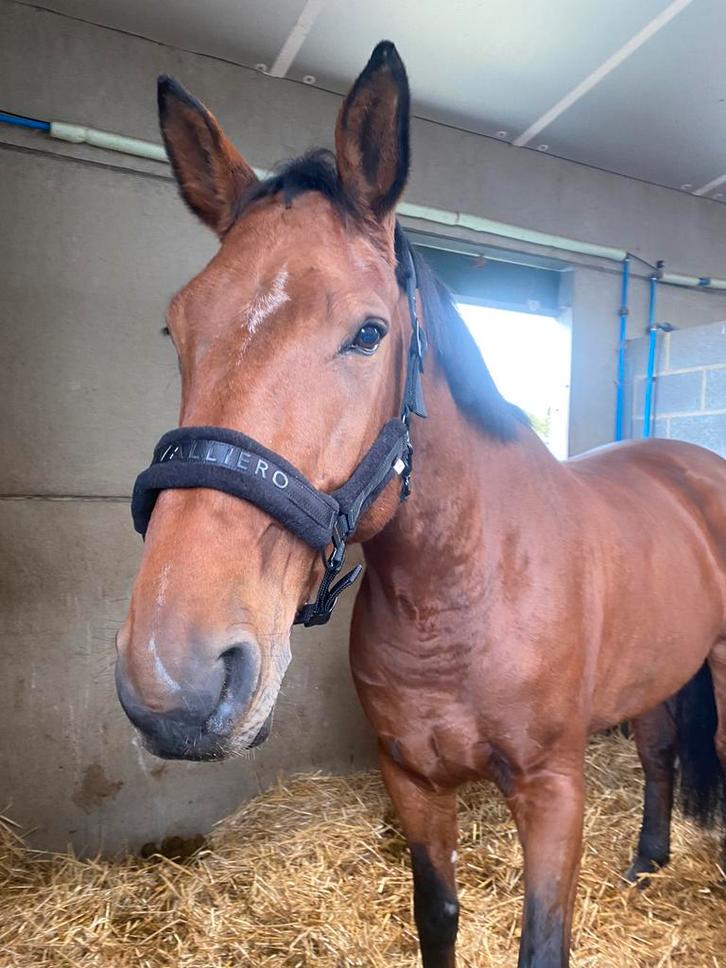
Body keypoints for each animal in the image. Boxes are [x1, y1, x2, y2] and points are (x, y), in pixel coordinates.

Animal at [116, 41, 726, 967]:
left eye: (369, 332)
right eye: (177, 328)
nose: (173, 679)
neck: (463, 587)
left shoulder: (554, 787)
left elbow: (543, 942)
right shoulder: (411, 777)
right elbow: (436, 915)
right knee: (659, 754)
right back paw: (649, 861)